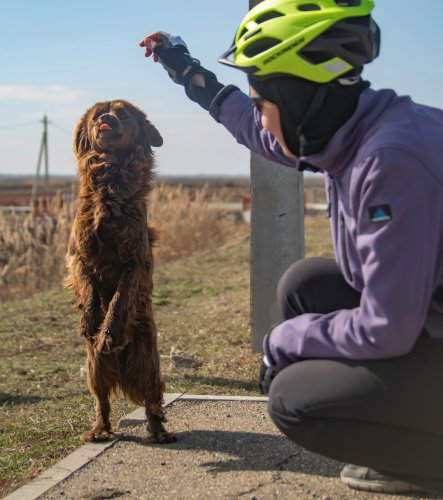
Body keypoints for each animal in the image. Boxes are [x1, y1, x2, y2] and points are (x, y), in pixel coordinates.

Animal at [66, 99, 177, 444]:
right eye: (95, 115)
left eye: (123, 113)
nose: (105, 118)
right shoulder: (78, 256)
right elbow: (88, 290)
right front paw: (91, 323)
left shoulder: (135, 263)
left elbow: (119, 299)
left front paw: (108, 333)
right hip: (95, 369)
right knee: (102, 402)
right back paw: (98, 429)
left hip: (148, 365)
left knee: (153, 403)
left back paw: (160, 433)